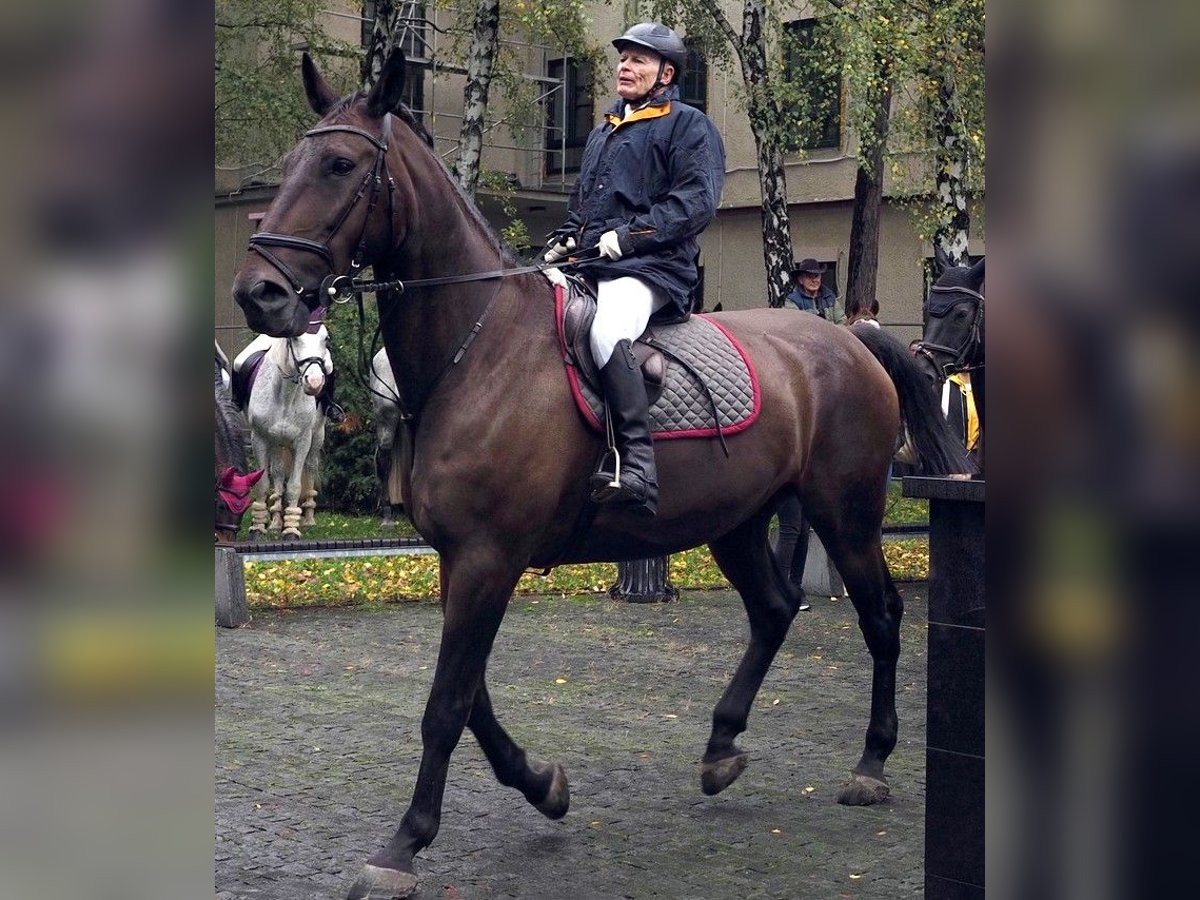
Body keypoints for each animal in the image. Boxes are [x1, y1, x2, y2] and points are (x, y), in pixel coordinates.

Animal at [232, 321, 333, 540]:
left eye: (326, 338)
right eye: (294, 338)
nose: (314, 382)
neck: (286, 394)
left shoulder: (303, 441)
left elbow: (294, 487)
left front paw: (291, 531)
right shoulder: (259, 439)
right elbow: (262, 484)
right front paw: (258, 529)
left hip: (317, 436)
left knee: (310, 467)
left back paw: (308, 519)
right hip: (277, 443)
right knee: (278, 473)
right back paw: (276, 522)